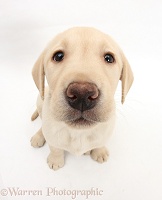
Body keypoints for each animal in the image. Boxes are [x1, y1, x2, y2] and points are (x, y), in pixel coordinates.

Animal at [30, 27, 133, 170]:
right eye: (58, 56)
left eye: (109, 58)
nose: (82, 94)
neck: (79, 132)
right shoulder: (52, 135)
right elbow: (55, 148)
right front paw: (56, 160)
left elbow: (100, 142)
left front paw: (99, 152)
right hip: (40, 101)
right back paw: (39, 136)